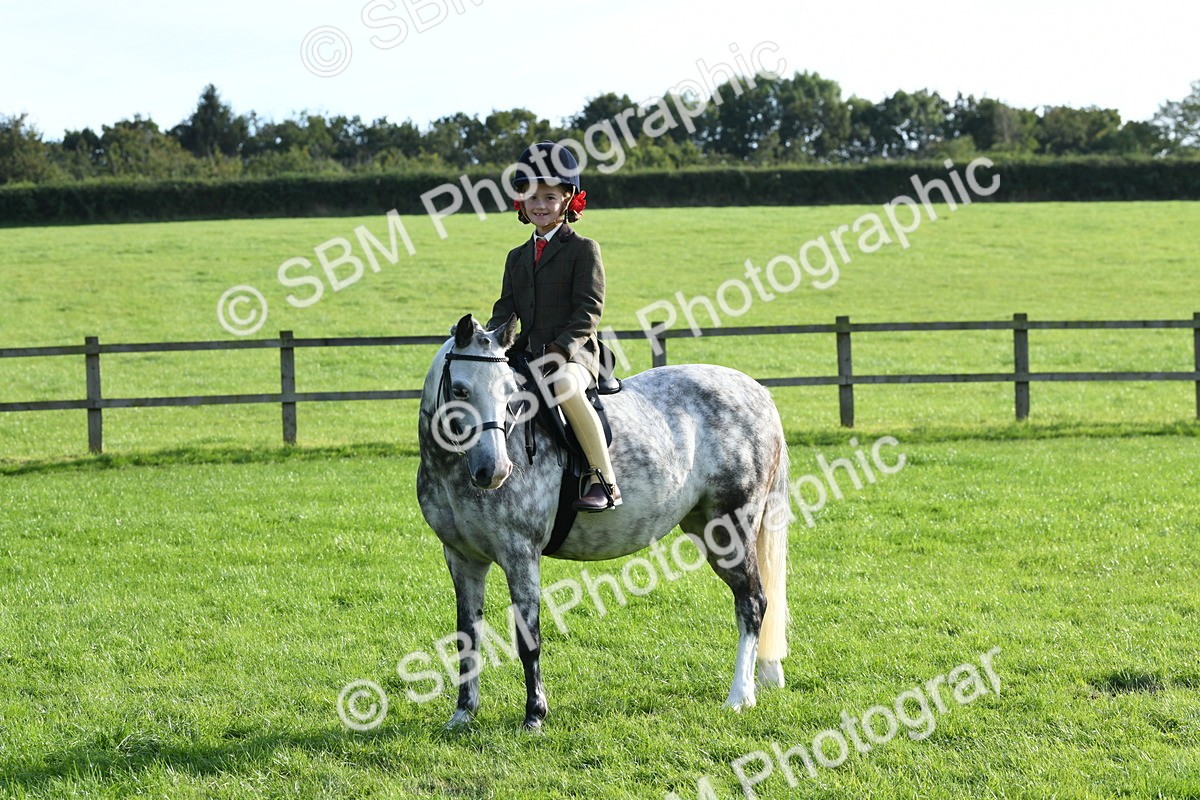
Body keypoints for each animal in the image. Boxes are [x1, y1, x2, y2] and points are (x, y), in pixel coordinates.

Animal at [416, 313, 792, 730]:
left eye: (510, 393)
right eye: (460, 390)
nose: (494, 470)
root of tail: (757, 392)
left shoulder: (520, 554)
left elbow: (528, 638)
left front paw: (535, 716)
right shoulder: (462, 558)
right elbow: (467, 636)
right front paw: (463, 714)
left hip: (732, 527)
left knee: (752, 602)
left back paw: (740, 696)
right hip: (705, 527)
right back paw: (764, 676)